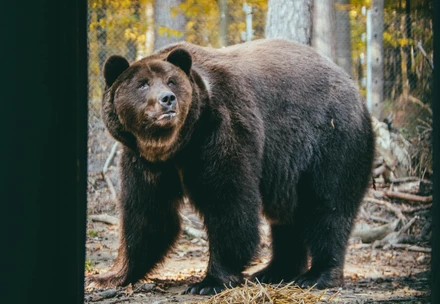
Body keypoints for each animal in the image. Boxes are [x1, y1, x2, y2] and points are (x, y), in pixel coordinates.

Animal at [93, 39, 374, 296]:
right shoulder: (144, 161)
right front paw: (110, 276)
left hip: (330, 139)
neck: (178, 145)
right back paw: (274, 271)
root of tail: (351, 83)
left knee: (328, 205)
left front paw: (209, 281)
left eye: (172, 81)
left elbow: (228, 202)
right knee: (287, 218)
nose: (167, 100)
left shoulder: (223, 129)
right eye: (142, 84)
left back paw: (317, 275)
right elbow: (146, 213)